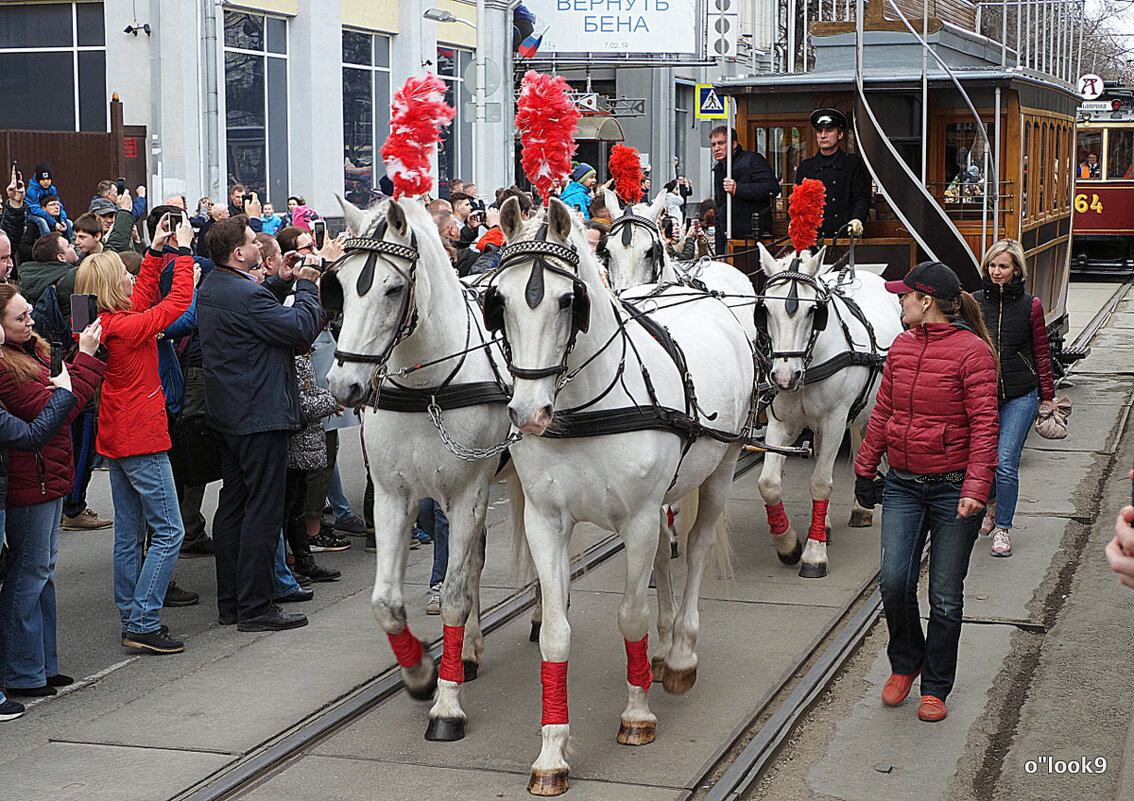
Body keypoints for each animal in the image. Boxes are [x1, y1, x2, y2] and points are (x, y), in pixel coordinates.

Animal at [326, 196, 517, 739]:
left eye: (393, 288)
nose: (343, 385)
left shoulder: (469, 493)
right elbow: (386, 603)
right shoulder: (394, 497)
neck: (426, 387)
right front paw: (420, 673)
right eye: (339, 283)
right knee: (473, 564)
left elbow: (452, 595)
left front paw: (446, 706)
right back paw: (469, 651)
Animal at [487, 195, 752, 794]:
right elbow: (555, 634)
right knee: (663, 556)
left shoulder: (637, 519)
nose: (528, 412)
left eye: (568, 300)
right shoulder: (546, 522)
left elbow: (630, 616)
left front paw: (637, 715)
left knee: (697, 545)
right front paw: (552, 754)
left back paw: (680, 655)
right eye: (500, 301)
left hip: (721, 468)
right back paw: (663, 646)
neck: (586, 406)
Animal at [752, 241, 902, 574]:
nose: (785, 377)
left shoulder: (835, 419)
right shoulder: (781, 423)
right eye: (764, 309)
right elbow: (769, 483)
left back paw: (860, 509)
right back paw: (826, 526)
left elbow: (821, 483)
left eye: (813, 310)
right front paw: (789, 545)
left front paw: (813, 554)